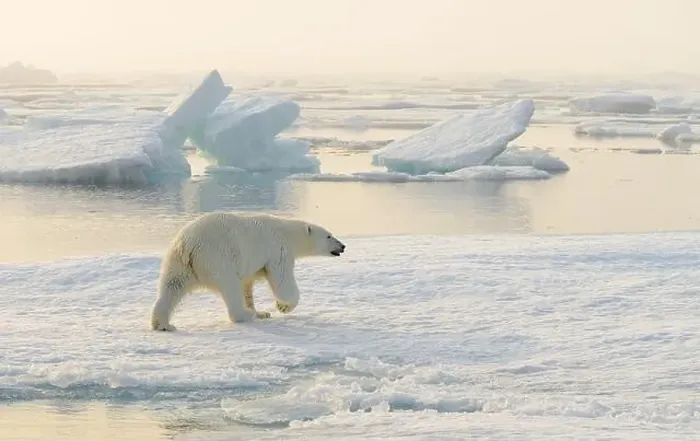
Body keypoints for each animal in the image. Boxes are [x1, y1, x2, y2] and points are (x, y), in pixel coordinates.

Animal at [150, 211, 346, 331]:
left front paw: (262, 312)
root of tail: (188, 245)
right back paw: (244, 314)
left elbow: (247, 284)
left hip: (178, 263)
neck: (288, 233)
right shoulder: (278, 250)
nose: (343, 246)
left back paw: (163, 324)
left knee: (171, 287)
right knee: (230, 287)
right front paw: (282, 306)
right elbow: (282, 279)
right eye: (329, 236)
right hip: (217, 257)